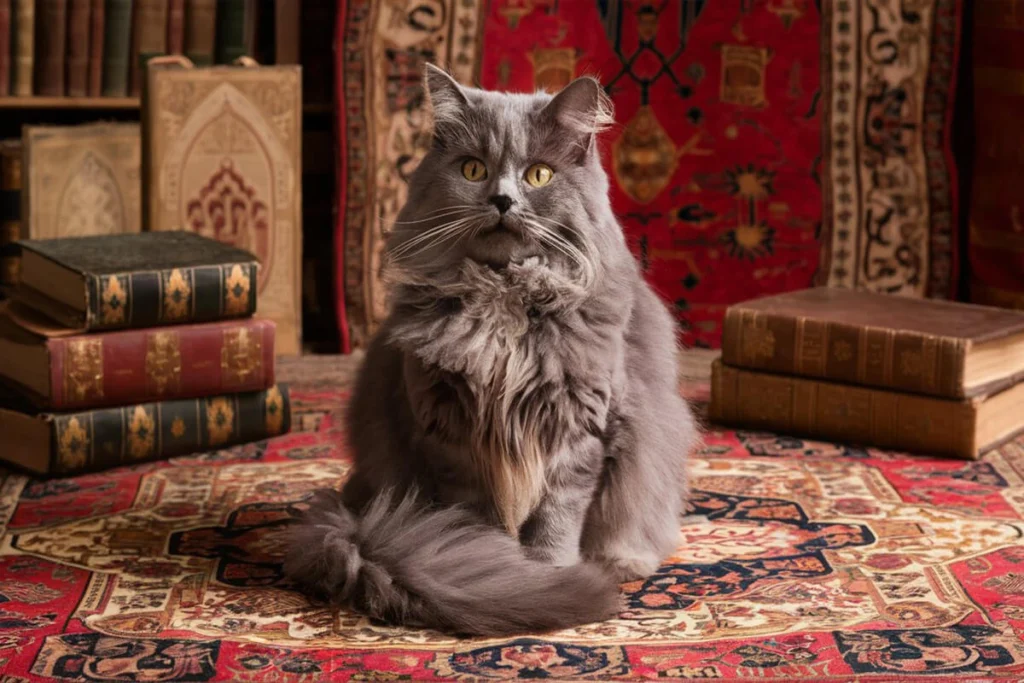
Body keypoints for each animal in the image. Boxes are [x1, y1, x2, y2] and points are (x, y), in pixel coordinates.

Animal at [288, 63, 704, 634]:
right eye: (472, 169)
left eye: (539, 176)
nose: (502, 200)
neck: (504, 299)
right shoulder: (449, 432)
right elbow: (478, 518)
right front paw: (500, 571)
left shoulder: (582, 429)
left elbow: (556, 521)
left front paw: (548, 573)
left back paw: (622, 561)